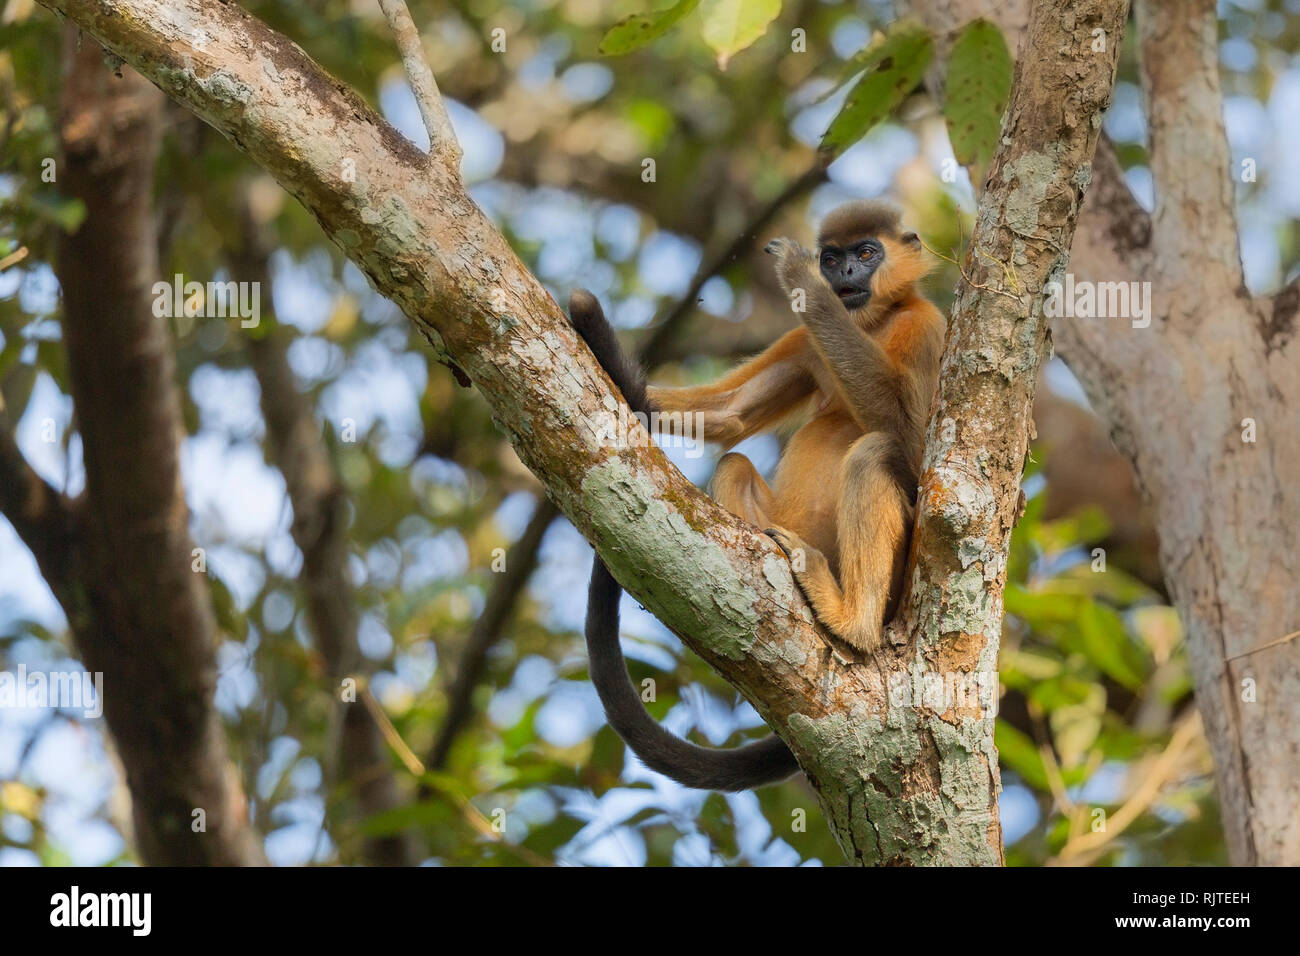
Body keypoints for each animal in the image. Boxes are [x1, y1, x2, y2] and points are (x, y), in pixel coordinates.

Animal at [569, 201, 946, 790]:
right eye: (833, 256)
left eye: (866, 252)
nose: (842, 273)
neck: (876, 323)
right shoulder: (804, 341)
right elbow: (730, 416)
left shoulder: (928, 327)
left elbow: (907, 444)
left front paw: (800, 279)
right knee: (735, 461)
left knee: (874, 451)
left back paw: (853, 623)